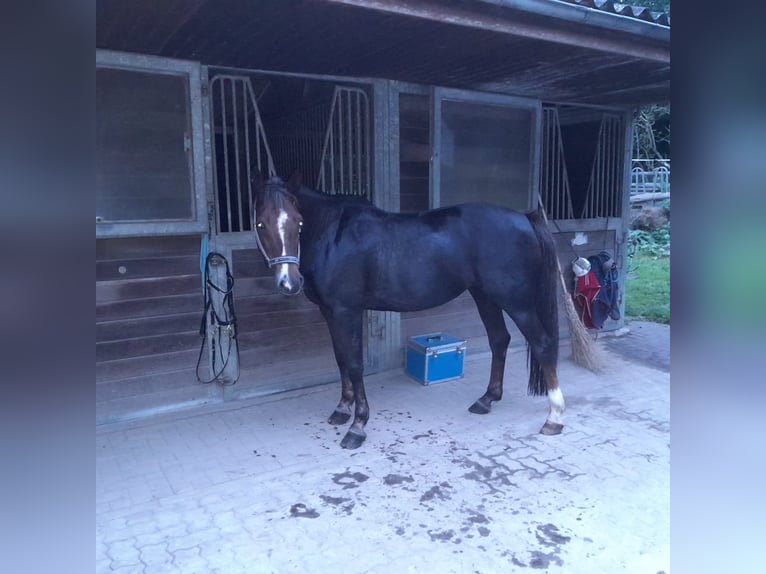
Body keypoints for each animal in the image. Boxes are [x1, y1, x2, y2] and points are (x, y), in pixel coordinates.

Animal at [252, 173, 564, 452]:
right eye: (261, 224)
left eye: (298, 222)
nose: (289, 282)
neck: (333, 234)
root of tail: (524, 218)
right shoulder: (329, 312)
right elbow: (340, 359)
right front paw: (342, 409)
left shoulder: (346, 311)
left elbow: (354, 364)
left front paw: (358, 426)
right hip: (485, 296)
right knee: (499, 340)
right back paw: (486, 399)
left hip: (517, 302)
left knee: (542, 344)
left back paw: (554, 418)